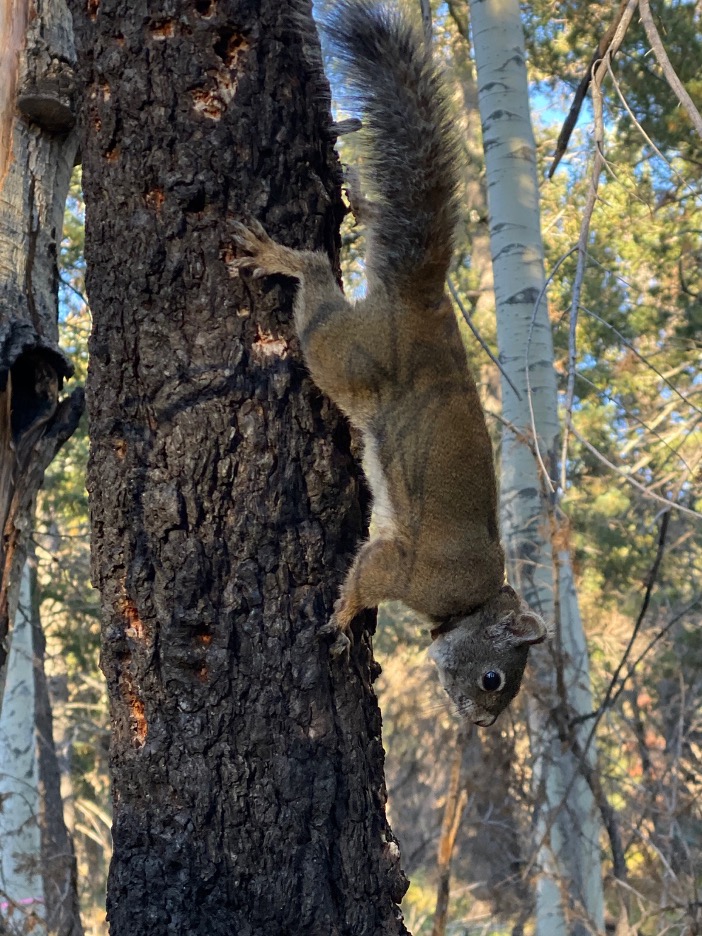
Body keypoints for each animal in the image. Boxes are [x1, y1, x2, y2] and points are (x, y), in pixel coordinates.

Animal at [234, 0, 552, 728]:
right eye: (495, 678)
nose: (481, 724)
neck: (471, 604)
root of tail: (425, 301)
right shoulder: (408, 568)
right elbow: (369, 573)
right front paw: (343, 616)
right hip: (344, 353)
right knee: (316, 288)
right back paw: (286, 257)